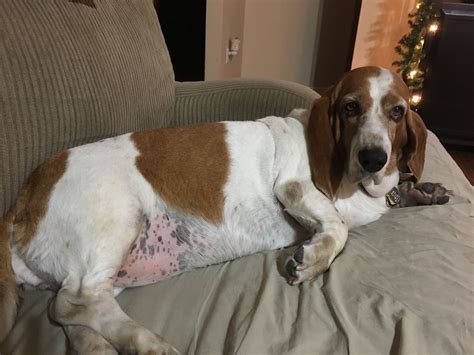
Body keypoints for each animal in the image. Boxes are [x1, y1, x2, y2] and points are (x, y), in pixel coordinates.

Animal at [0, 66, 450, 354]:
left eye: (397, 112)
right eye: (350, 107)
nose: (374, 157)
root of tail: (22, 198)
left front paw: (421, 190)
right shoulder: (294, 189)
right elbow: (337, 230)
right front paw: (311, 262)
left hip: (109, 271)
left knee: (75, 313)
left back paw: (104, 347)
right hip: (117, 221)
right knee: (72, 303)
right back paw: (149, 344)